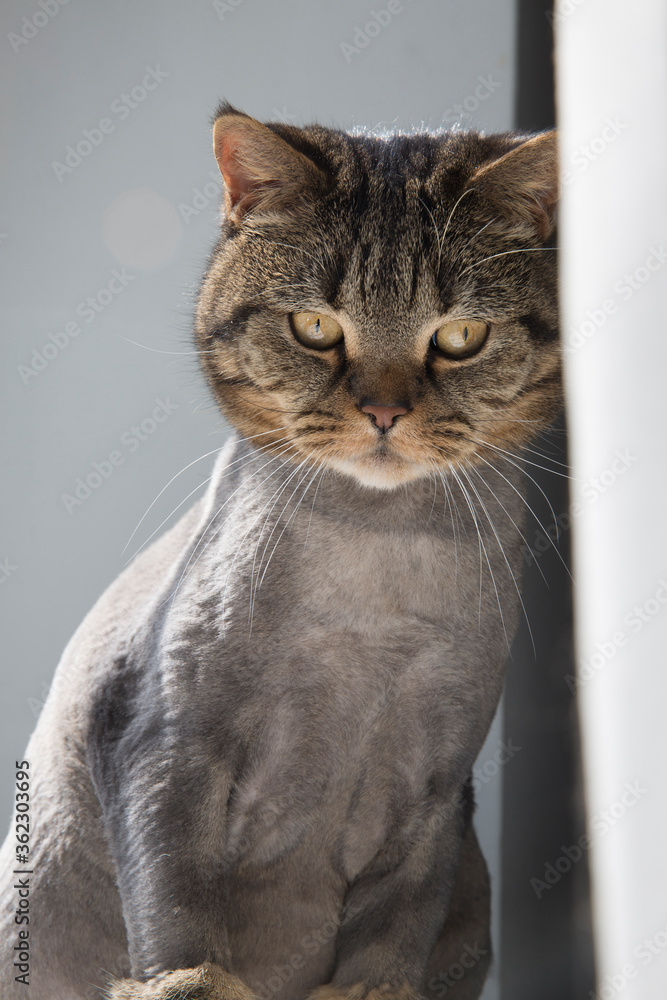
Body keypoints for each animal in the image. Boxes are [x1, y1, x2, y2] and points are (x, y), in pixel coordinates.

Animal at [0, 103, 560, 1000]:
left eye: (461, 337)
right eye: (315, 327)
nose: (382, 412)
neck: (373, 594)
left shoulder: (433, 796)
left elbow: (392, 942)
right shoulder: (164, 749)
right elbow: (176, 918)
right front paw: (192, 982)